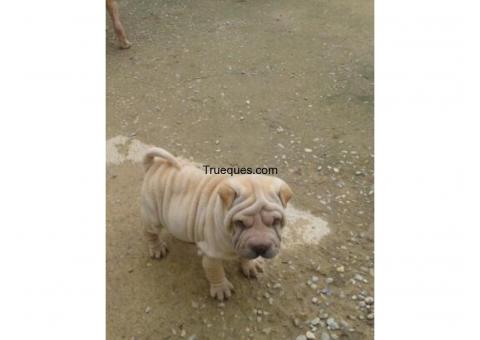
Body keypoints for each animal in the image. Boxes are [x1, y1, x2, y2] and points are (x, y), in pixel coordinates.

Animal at [141, 147, 292, 302]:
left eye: (276, 221)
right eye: (240, 223)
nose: (260, 247)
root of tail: (154, 165)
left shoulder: (244, 244)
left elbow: (245, 254)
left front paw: (250, 266)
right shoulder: (211, 254)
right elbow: (216, 272)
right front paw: (221, 289)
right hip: (152, 214)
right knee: (150, 232)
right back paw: (157, 249)